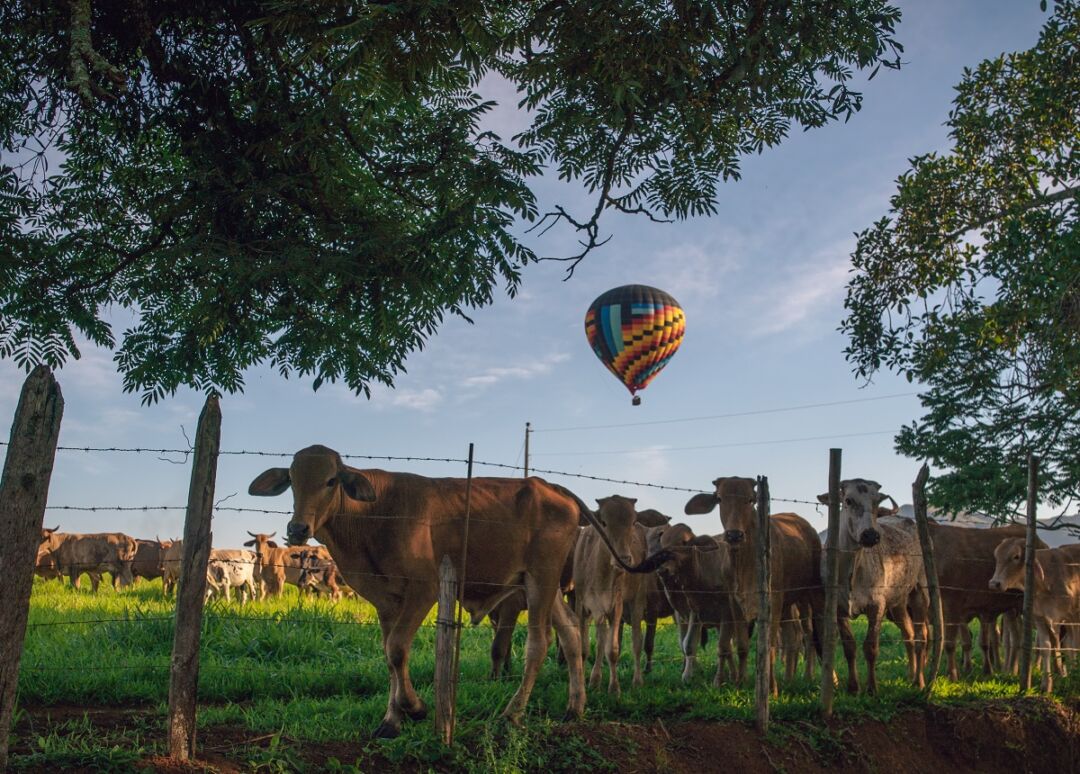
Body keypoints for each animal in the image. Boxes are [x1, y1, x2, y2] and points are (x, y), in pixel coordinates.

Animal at [248, 444, 613, 734]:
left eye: (330, 480)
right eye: (292, 480)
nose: (298, 528)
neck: (375, 515)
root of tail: (550, 487)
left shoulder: (424, 589)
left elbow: (397, 649)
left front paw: (415, 708)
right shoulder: (386, 602)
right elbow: (390, 657)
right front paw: (391, 720)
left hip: (541, 579)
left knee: (539, 643)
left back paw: (513, 713)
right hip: (541, 585)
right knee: (571, 634)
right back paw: (574, 707)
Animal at [574, 498, 648, 699]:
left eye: (632, 521)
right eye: (603, 522)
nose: (624, 559)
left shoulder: (616, 605)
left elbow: (613, 650)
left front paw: (614, 688)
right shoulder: (583, 605)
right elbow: (585, 649)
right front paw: (586, 682)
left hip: (637, 599)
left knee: (637, 641)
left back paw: (637, 681)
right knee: (600, 641)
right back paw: (595, 679)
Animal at [686, 477, 820, 695]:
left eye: (750, 499)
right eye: (720, 498)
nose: (734, 535)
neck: (744, 563)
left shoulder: (773, 600)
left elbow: (770, 647)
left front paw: (771, 688)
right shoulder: (734, 602)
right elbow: (742, 645)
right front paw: (740, 682)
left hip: (805, 597)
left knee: (808, 636)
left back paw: (809, 676)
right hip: (787, 605)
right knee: (791, 637)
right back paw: (788, 678)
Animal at [816, 479, 928, 690]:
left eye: (876, 502)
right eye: (848, 500)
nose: (870, 535)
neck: (850, 570)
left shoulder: (877, 605)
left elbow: (871, 647)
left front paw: (871, 687)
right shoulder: (837, 608)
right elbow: (849, 646)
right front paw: (853, 686)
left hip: (920, 592)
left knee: (921, 636)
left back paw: (919, 681)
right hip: (898, 603)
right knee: (908, 635)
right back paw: (911, 675)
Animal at [989, 535, 1080, 690]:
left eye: (1016, 556)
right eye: (997, 556)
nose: (994, 583)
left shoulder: (1067, 617)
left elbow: (1067, 646)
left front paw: (1068, 678)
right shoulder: (1041, 618)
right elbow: (1045, 648)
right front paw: (1046, 685)